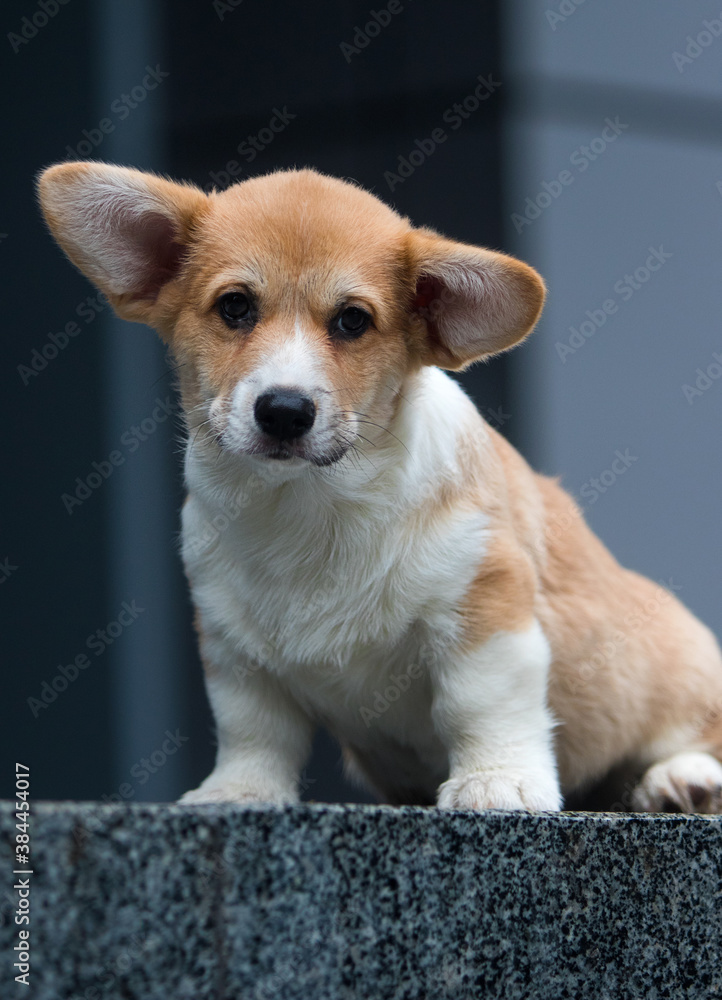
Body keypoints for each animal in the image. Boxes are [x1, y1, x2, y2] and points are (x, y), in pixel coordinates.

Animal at [36, 158, 720, 812]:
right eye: (235, 307)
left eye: (352, 321)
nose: (284, 411)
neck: (308, 505)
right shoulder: (233, 642)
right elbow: (253, 728)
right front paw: (241, 792)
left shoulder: (484, 606)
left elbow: (482, 705)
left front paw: (497, 782)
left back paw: (679, 779)